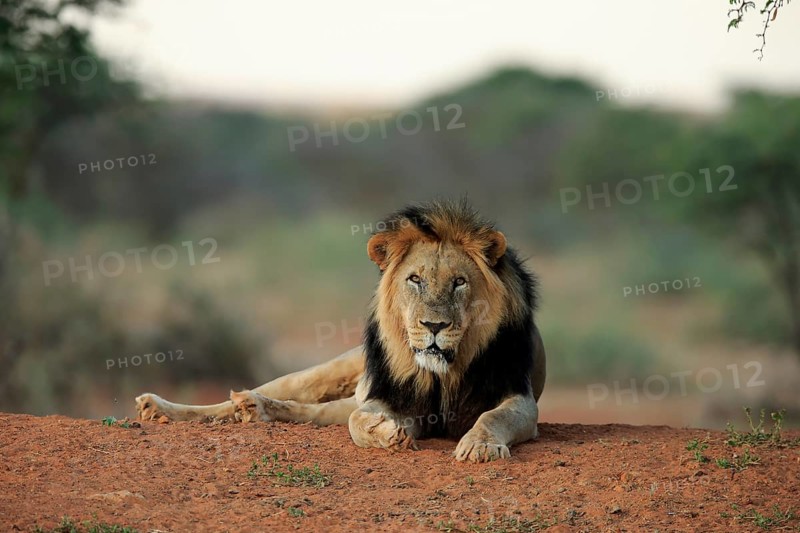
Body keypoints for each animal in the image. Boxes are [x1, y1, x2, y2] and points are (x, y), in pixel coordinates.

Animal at [135, 200, 546, 462]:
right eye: (415, 280)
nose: (433, 326)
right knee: (280, 394)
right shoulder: (393, 398)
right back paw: (166, 407)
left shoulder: (519, 398)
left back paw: (256, 409)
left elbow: (492, 417)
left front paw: (480, 446)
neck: (444, 373)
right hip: (330, 373)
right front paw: (387, 434)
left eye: (460, 282)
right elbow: (358, 421)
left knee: (315, 411)